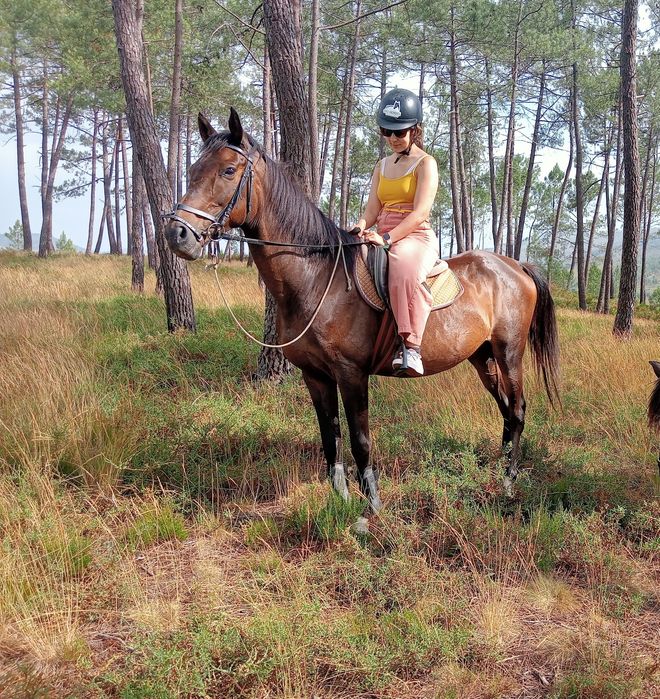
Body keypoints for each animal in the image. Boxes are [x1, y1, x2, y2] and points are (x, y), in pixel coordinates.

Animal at [164, 109, 560, 527]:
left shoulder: (351, 374)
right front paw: (339, 498)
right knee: (504, 410)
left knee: (517, 409)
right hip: (480, 356)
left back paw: (508, 484)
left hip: (508, 351)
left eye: (228, 170)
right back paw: (498, 470)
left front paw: (372, 508)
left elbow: (360, 440)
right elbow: (331, 436)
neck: (318, 277)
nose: (176, 234)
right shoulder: (316, 375)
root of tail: (515, 265)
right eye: (193, 169)